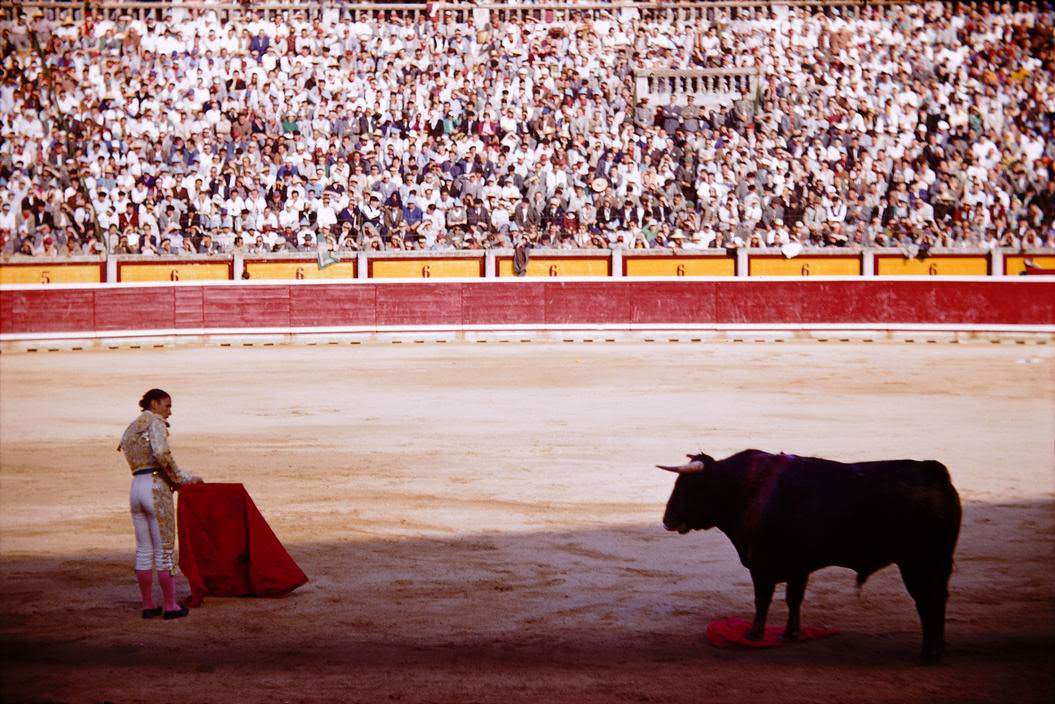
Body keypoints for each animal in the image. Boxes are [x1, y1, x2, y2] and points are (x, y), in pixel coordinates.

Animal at [658, 451, 966, 662]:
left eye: (689, 487)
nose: (666, 520)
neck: (743, 488)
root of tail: (934, 471)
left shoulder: (761, 566)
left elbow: (762, 601)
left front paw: (754, 635)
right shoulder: (799, 567)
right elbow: (794, 599)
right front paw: (791, 633)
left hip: (919, 563)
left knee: (928, 601)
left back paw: (929, 653)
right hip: (935, 564)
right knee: (939, 599)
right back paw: (937, 648)